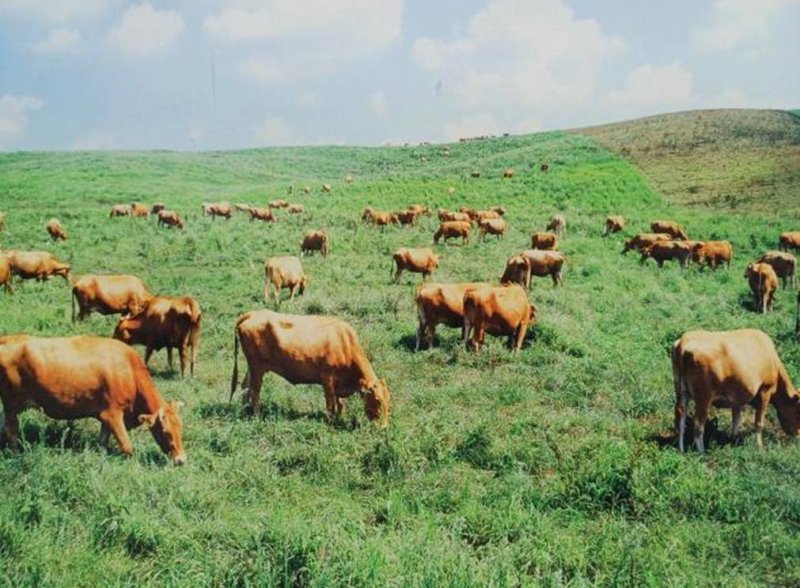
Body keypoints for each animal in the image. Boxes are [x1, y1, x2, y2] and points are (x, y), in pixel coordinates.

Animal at [0, 336, 187, 464]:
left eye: (181, 429)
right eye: (165, 432)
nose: (181, 460)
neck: (129, 370)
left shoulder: (105, 415)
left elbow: (102, 441)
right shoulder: (113, 414)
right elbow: (127, 447)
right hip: (11, 404)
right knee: (11, 430)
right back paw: (15, 455)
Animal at [228, 308, 390, 422]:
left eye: (389, 400)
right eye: (377, 400)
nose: (383, 427)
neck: (345, 344)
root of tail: (252, 314)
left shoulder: (338, 383)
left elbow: (341, 403)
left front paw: (340, 418)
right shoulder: (327, 378)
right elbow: (330, 404)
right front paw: (330, 422)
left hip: (252, 367)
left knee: (245, 387)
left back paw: (245, 412)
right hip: (257, 368)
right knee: (255, 391)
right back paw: (257, 415)